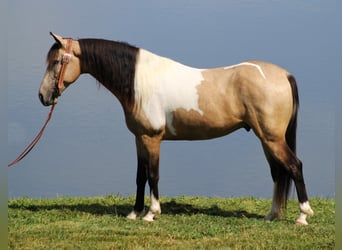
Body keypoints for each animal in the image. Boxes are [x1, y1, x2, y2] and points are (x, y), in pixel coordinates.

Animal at [38, 32, 314, 226]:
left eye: (56, 62)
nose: (42, 96)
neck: (139, 82)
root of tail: (284, 75)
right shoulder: (139, 138)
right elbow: (140, 176)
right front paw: (134, 212)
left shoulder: (152, 138)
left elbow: (153, 175)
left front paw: (151, 214)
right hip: (267, 139)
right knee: (278, 173)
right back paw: (272, 215)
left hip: (272, 138)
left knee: (294, 166)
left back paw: (302, 216)